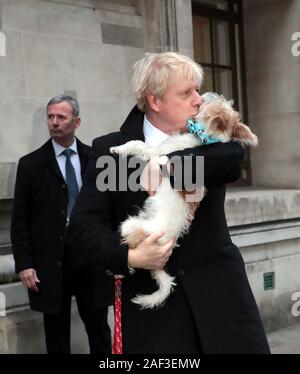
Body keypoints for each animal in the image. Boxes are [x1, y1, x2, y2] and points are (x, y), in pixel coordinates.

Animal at [110, 93, 258, 310]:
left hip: (131, 226)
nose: (204, 95)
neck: (202, 138)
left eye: (214, 102)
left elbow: (137, 144)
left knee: (130, 252)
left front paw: (118, 149)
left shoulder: (157, 153)